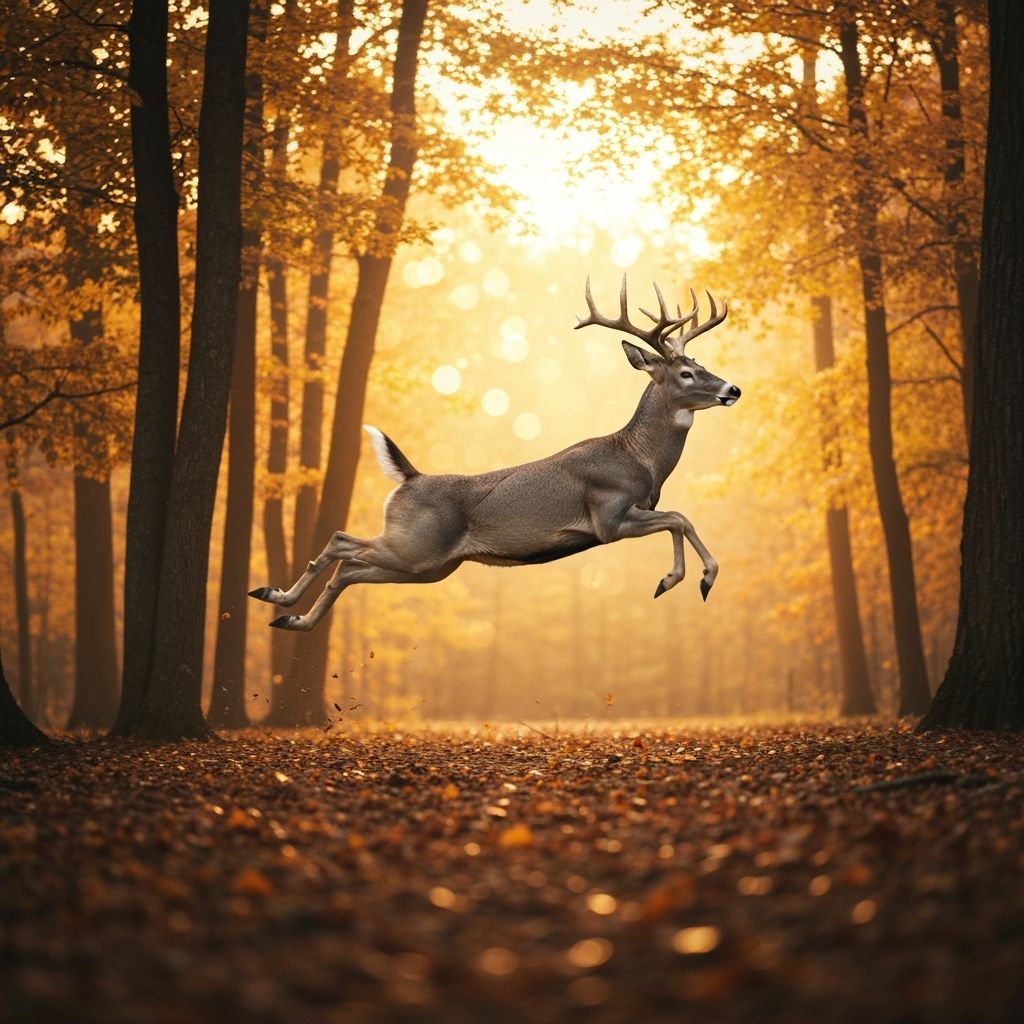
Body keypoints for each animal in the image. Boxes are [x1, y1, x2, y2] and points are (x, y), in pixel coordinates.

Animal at [249, 276, 740, 631]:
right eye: (686, 373)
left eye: (702, 365)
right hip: (417, 546)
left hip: (431, 566)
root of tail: (409, 477)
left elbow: (678, 519)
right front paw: (689, 579)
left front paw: (679, 580)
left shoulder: (634, 511)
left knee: (349, 567)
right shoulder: (609, 516)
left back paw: (291, 617)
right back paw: (276, 597)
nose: (732, 388)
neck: (641, 461)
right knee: (342, 543)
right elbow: (679, 517)